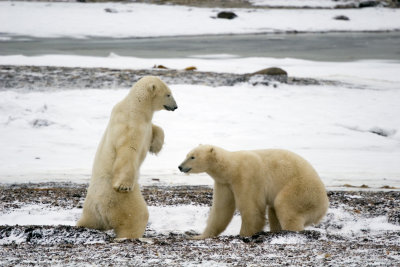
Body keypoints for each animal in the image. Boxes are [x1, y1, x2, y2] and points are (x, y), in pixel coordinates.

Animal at [77, 76, 177, 240]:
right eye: (168, 94)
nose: (175, 106)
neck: (137, 107)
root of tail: (98, 207)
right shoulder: (130, 124)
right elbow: (128, 150)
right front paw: (123, 185)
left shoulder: (144, 123)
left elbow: (154, 129)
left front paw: (156, 147)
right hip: (122, 200)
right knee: (137, 217)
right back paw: (133, 236)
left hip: (91, 209)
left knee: (89, 220)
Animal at [178, 146, 328, 240]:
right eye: (187, 155)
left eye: (192, 157)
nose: (180, 166)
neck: (231, 168)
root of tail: (324, 205)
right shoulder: (224, 183)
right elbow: (221, 210)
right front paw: (199, 236)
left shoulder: (247, 176)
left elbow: (252, 208)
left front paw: (244, 234)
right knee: (274, 211)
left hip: (301, 191)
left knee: (285, 207)